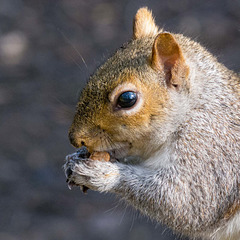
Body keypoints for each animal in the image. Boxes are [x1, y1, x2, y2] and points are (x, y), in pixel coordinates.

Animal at [64, 6, 240, 239]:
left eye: (127, 99)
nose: (75, 139)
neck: (193, 109)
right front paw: (76, 157)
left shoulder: (212, 152)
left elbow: (188, 202)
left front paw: (103, 173)